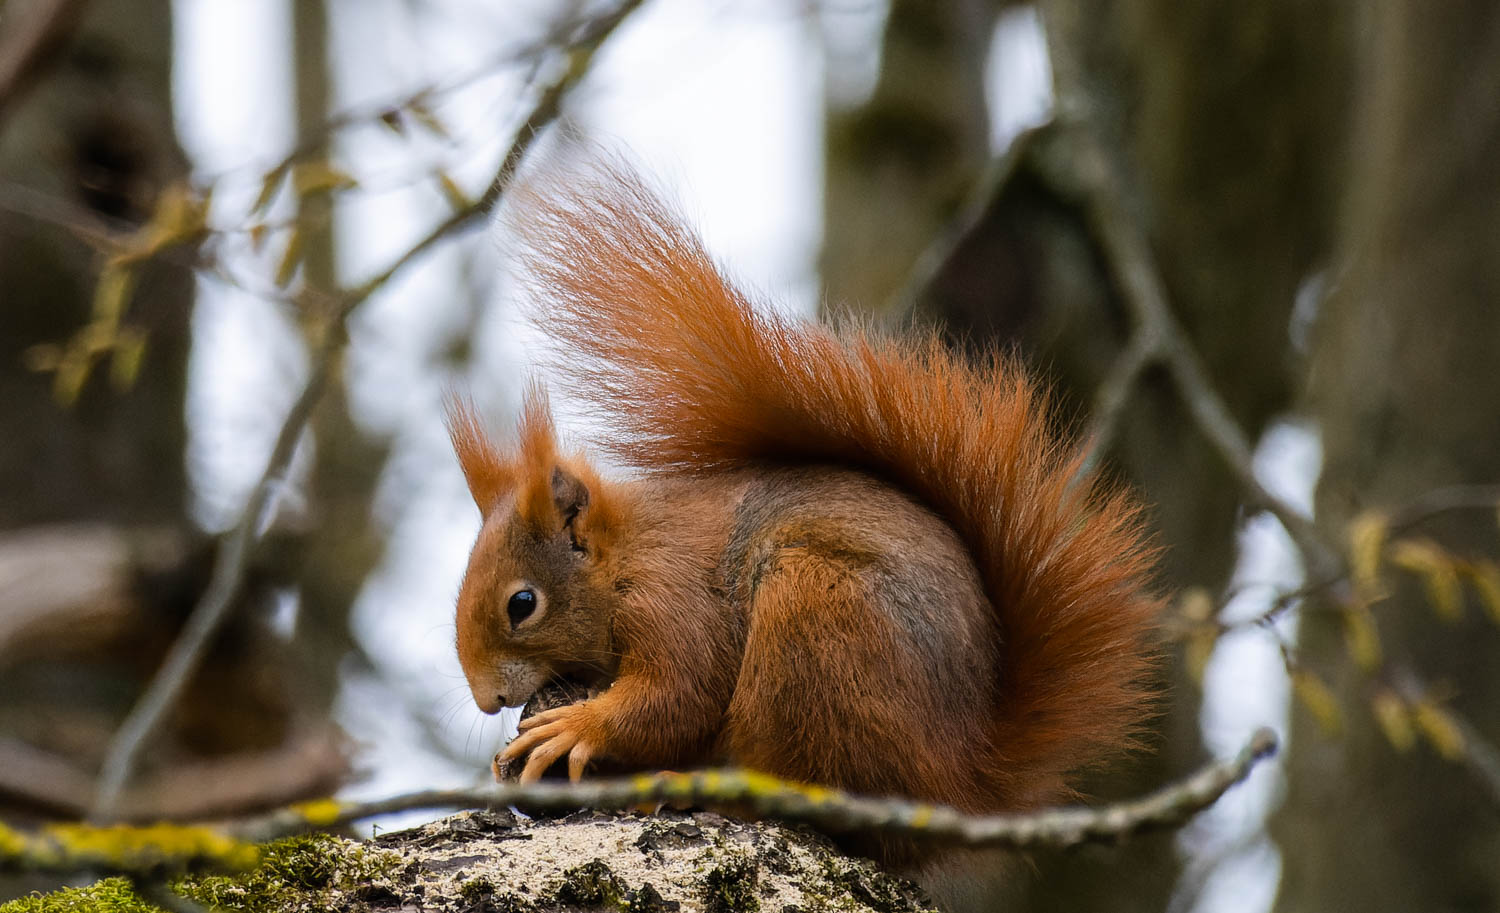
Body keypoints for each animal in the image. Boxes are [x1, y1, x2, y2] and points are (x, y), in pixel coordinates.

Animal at [444, 161, 1158, 863]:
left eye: (522, 604)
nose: (488, 700)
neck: (621, 555)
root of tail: (955, 783)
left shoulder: (672, 596)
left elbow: (678, 693)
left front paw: (574, 726)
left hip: (813, 621)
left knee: (795, 778)